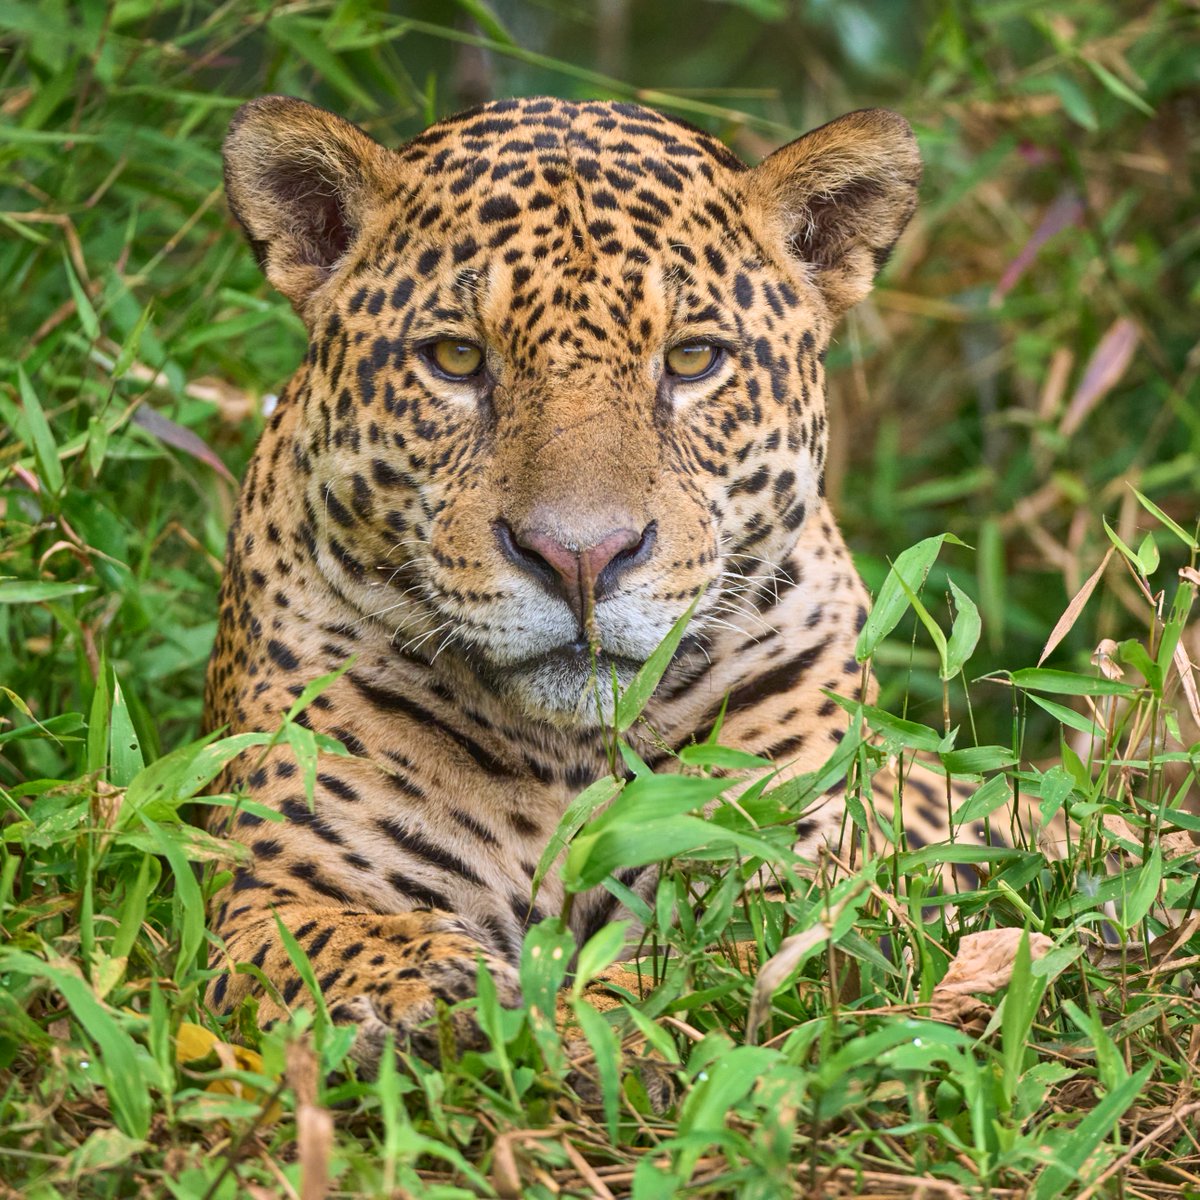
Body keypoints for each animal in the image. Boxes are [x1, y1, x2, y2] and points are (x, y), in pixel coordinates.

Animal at [204, 93, 932, 1067]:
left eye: (694, 359)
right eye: (456, 358)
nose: (580, 557)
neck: (567, 758)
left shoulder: (812, 888)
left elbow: (693, 972)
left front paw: (583, 1026)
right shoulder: (273, 887)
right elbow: (325, 941)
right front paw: (439, 988)